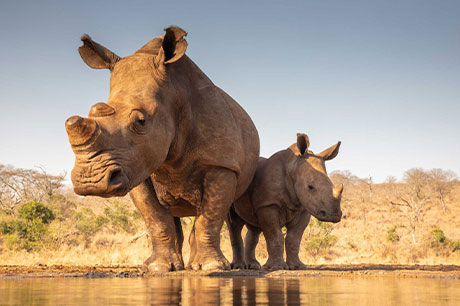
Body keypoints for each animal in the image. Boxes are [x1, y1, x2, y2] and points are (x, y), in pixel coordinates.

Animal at [64, 25, 258, 270]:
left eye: (140, 121)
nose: (90, 181)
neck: (175, 94)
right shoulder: (135, 167)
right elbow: (155, 218)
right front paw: (158, 267)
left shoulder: (222, 164)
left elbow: (210, 218)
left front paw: (212, 267)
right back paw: (182, 266)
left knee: (225, 217)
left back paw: (221, 266)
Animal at [229, 134, 342, 270]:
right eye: (310, 187)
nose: (334, 215)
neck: (293, 167)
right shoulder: (268, 205)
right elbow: (275, 236)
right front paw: (275, 267)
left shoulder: (303, 209)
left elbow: (294, 239)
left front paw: (297, 267)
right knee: (234, 224)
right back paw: (238, 266)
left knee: (254, 227)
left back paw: (253, 266)